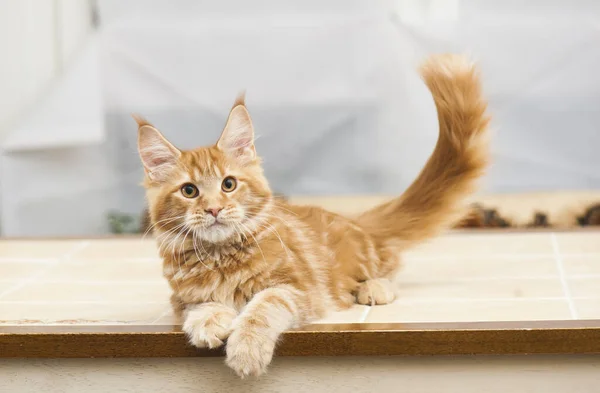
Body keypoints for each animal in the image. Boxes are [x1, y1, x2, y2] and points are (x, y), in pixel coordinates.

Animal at [137, 53, 492, 376]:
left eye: (228, 184)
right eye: (189, 191)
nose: (213, 208)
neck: (220, 256)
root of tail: (353, 218)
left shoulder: (298, 289)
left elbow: (263, 307)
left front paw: (246, 352)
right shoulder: (181, 299)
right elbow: (201, 306)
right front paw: (208, 324)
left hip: (363, 256)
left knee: (390, 268)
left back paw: (374, 289)